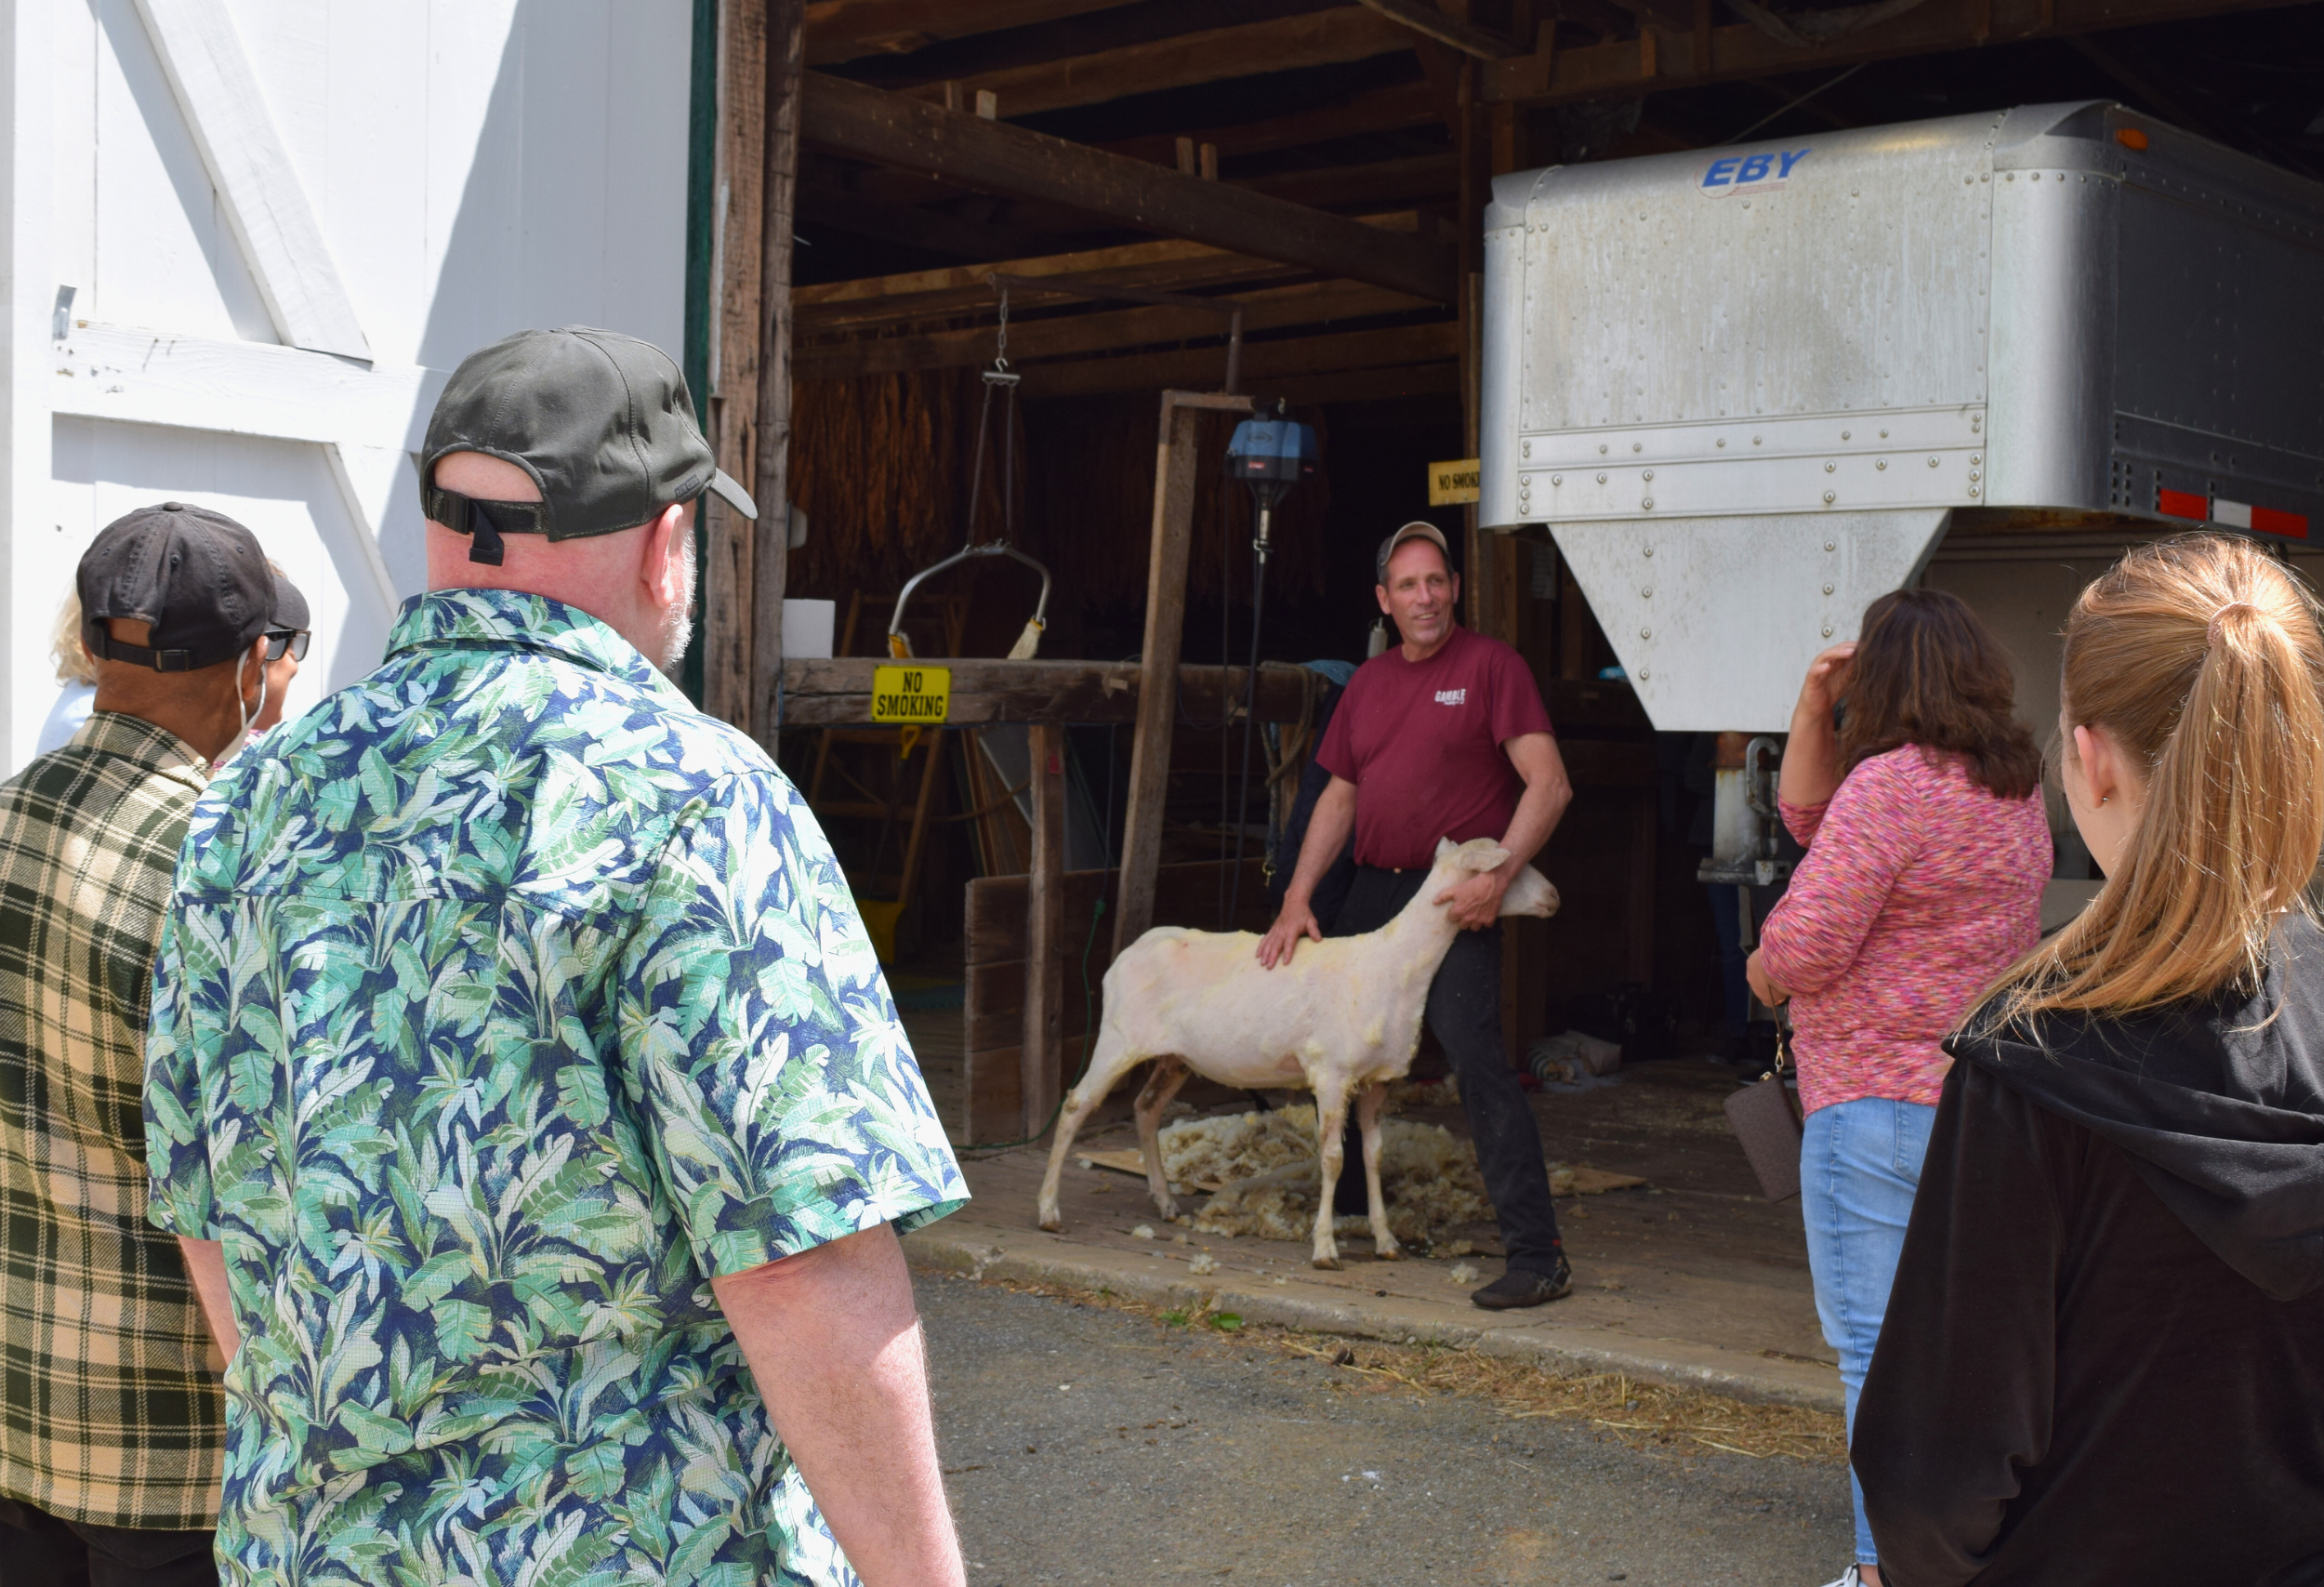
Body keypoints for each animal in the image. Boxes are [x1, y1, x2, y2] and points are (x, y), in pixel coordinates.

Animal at [1041, 836, 1562, 1273]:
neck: (1392, 968)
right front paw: (1325, 1248)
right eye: (1510, 867)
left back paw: (1165, 1201)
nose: (1555, 897)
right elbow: (1333, 1158)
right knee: (1075, 1105)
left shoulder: (1379, 1081)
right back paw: (1049, 1211)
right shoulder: (1331, 1074)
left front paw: (1386, 1240)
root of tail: (1129, 951)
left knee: (1146, 1110)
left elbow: (1373, 1156)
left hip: (1175, 1057)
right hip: (1118, 1038)